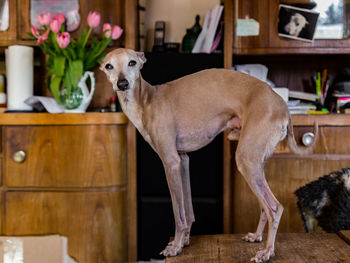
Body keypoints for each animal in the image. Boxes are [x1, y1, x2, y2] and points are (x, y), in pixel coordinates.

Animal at [100, 48, 318, 262]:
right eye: (109, 66)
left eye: (132, 62)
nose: (122, 84)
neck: (146, 101)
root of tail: (283, 106)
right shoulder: (183, 160)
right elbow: (188, 210)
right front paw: (184, 241)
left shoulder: (171, 162)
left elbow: (178, 213)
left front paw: (176, 247)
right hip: (255, 165)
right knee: (264, 206)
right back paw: (256, 237)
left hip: (246, 161)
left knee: (275, 207)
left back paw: (267, 252)